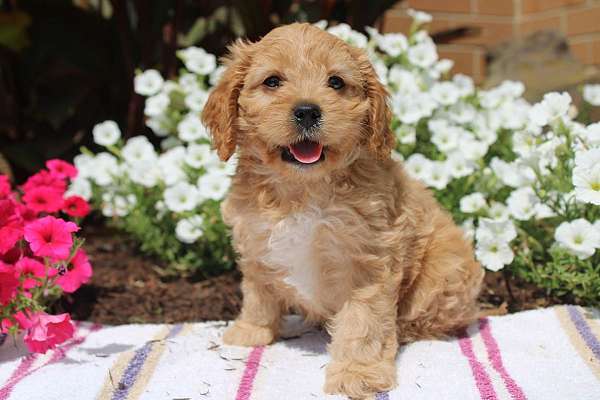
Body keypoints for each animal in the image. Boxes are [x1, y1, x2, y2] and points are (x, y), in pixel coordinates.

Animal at [202, 22, 482, 400]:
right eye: (272, 81)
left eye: (335, 82)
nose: (308, 111)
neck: (303, 189)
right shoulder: (256, 240)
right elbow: (258, 291)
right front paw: (251, 330)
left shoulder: (367, 262)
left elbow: (363, 323)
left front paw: (357, 373)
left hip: (445, 268)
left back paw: (405, 330)